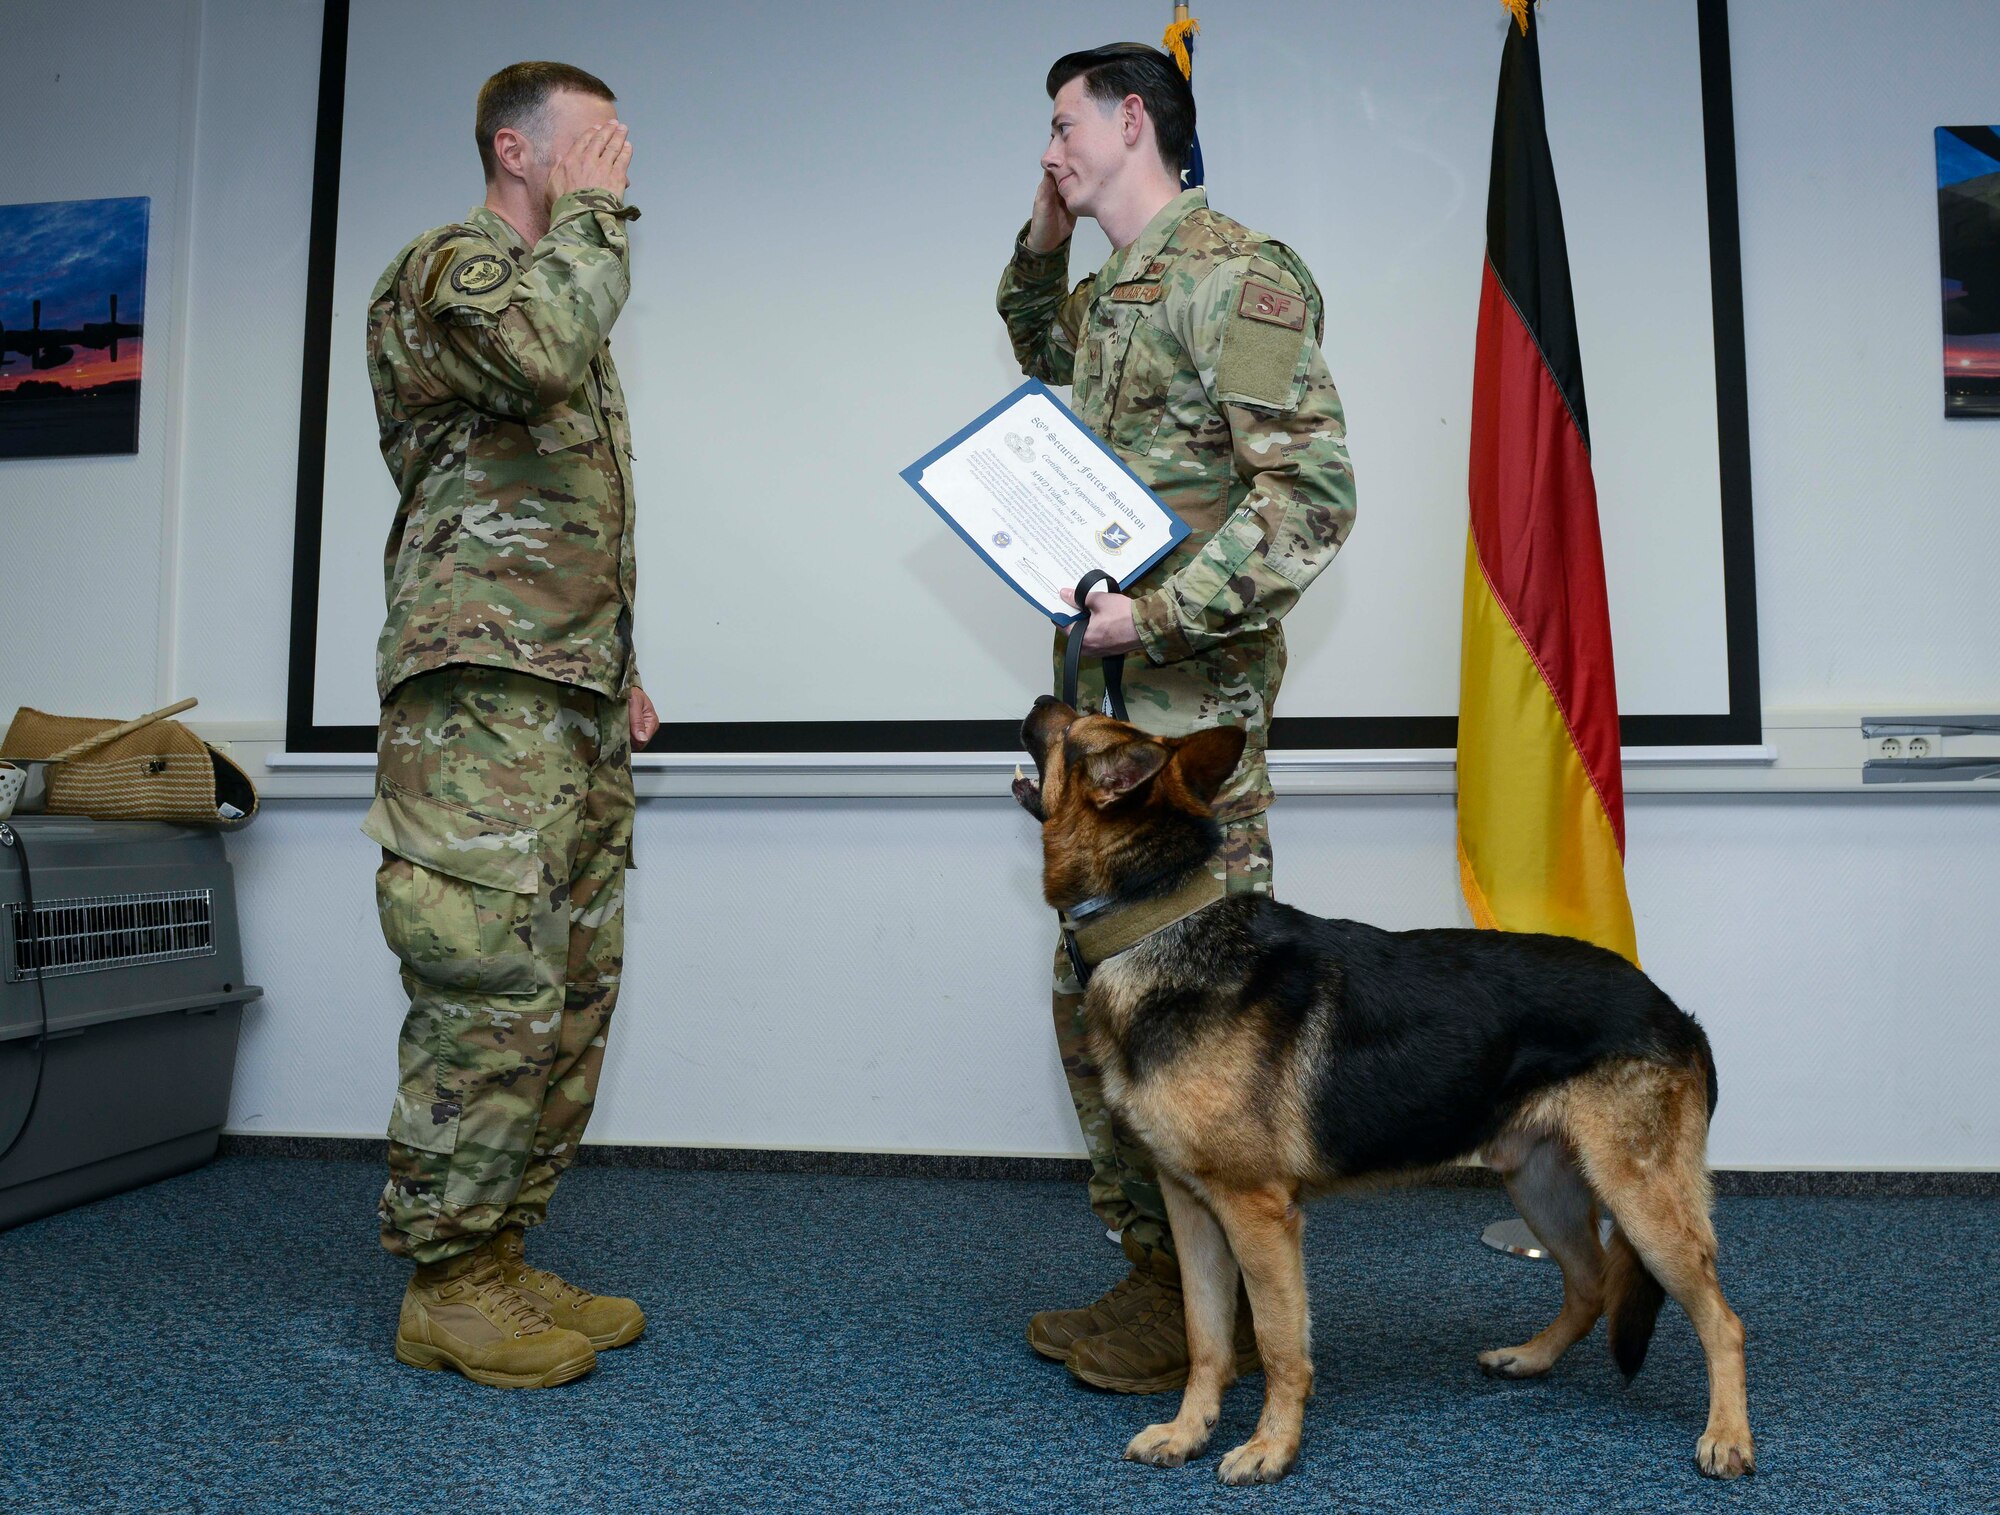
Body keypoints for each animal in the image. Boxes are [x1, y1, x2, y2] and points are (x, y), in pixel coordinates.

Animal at [1016, 707, 1752, 1487]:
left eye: (1073, 729)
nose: (1036, 705)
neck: (1157, 922)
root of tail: (1676, 1013)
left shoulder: (1257, 1215)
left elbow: (1278, 1344)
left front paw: (1271, 1446)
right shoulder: (1191, 1209)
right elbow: (1205, 1337)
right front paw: (1189, 1432)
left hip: (1640, 1202)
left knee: (1721, 1320)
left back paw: (1728, 1434)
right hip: (1540, 1185)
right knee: (1591, 1284)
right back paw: (1530, 1357)